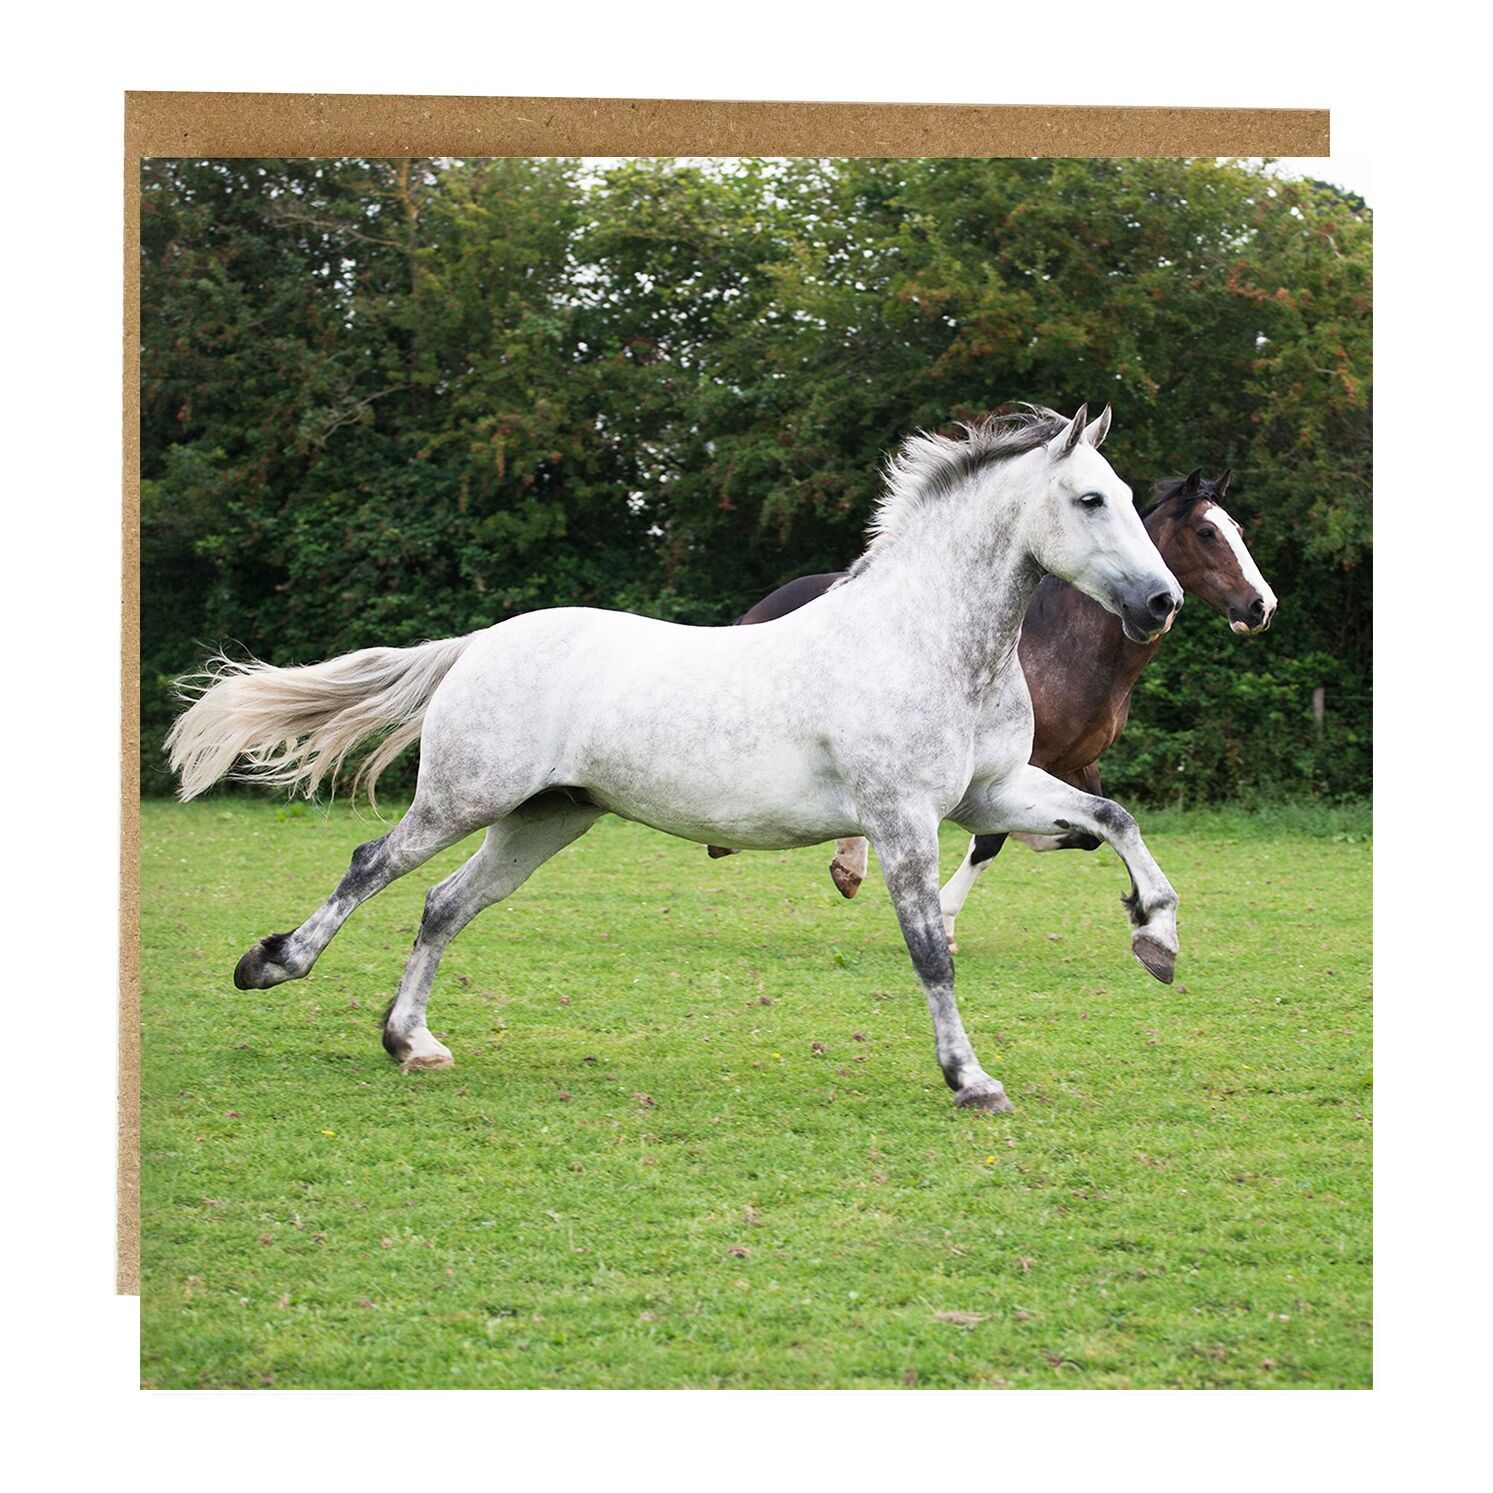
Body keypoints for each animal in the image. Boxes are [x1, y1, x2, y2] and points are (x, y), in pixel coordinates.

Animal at [166, 404, 1184, 1115]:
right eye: (1090, 499)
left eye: (1134, 502)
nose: (1162, 601)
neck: (926, 640)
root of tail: (480, 642)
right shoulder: (902, 818)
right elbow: (930, 949)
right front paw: (971, 1080)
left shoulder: (990, 796)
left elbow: (1113, 819)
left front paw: (1156, 938)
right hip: (465, 795)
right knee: (371, 864)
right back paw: (271, 964)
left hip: (547, 816)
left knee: (444, 903)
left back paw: (410, 1042)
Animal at [713, 470, 1277, 948]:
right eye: (1206, 532)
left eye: (1238, 528)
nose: (1261, 606)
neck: (1064, 646)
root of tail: (757, 611)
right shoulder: (1013, 763)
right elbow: (989, 844)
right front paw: (943, 917)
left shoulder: (1076, 761)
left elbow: (1085, 833)